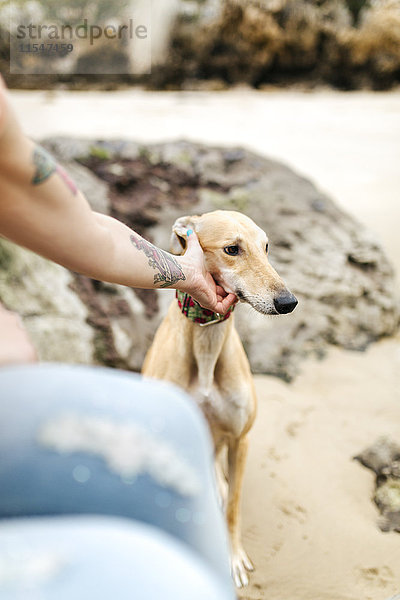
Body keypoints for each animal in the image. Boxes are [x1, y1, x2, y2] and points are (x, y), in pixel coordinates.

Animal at [143, 210, 296, 584]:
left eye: (266, 247)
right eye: (232, 249)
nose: (288, 302)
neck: (207, 343)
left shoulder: (240, 440)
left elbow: (234, 508)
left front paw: (233, 558)